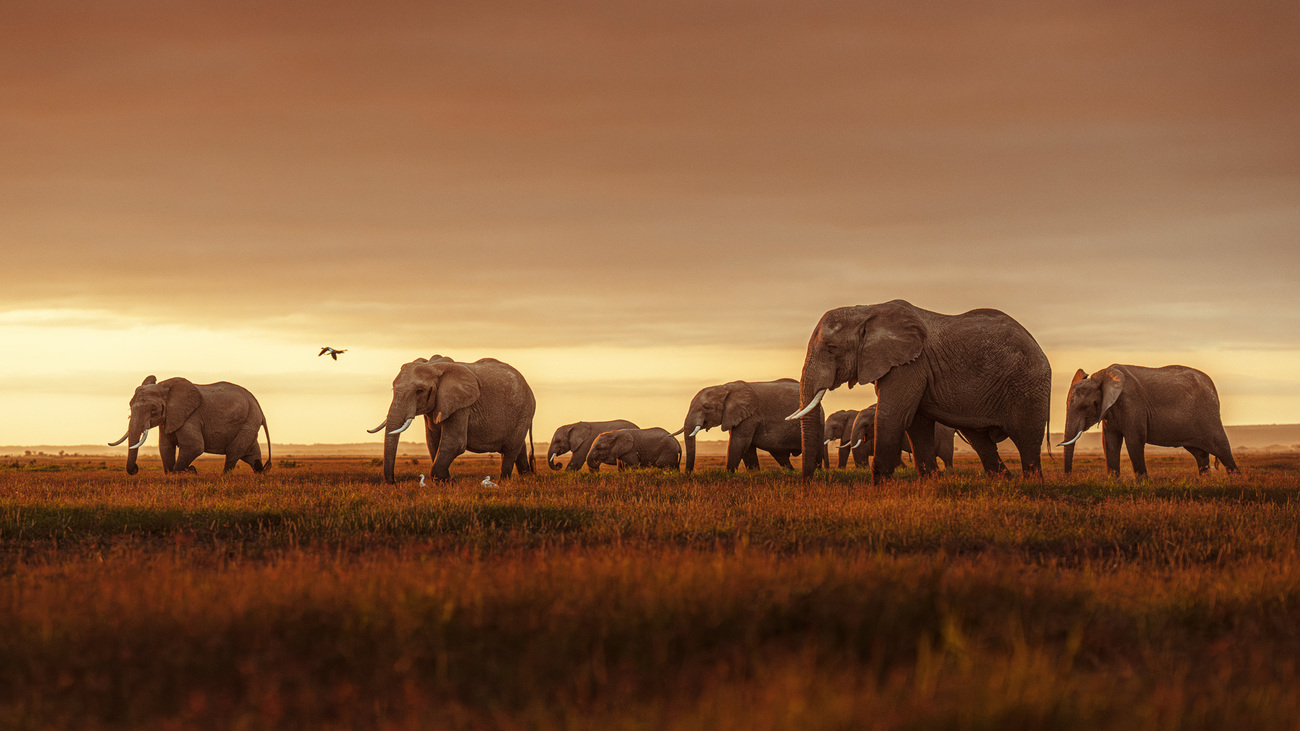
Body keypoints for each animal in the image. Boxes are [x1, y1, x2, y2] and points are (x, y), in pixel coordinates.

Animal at [107, 372, 270, 476]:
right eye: (130, 407)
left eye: (153, 410)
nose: (135, 469)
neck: (164, 387)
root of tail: (258, 406)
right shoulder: (169, 418)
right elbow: (165, 446)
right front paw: (173, 473)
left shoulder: (190, 416)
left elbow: (194, 446)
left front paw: (189, 471)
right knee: (251, 455)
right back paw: (260, 472)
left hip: (249, 421)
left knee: (233, 452)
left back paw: (224, 476)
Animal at [371, 353, 538, 481]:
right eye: (393, 388)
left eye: (419, 391)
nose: (393, 482)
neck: (435, 367)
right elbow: (432, 442)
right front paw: (445, 482)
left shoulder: (461, 406)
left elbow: (454, 443)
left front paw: (447, 481)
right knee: (519, 447)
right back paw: (526, 478)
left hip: (524, 412)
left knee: (510, 449)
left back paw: (504, 482)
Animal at [670, 374, 821, 473]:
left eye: (706, 407)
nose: (687, 474)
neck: (724, 387)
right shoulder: (735, 416)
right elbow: (747, 449)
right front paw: (755, 474)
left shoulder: (750, 416)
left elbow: (739, 443)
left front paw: (729, 475)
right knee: (782, 457)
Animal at [785, 299, 1050, 481]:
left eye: (831, 348)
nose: (809, 481)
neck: (867, 311)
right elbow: (916, 423)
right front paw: (933, 482)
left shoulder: (910, 364)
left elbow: (894, 416)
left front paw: (881, 488)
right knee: (979, 439)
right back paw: (1004, 481)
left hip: (1028, 385)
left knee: (1027, 438)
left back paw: (1030, 484)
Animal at [1055, 361, 1237, 476]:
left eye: (1088, 405)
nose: (1068, 478)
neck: (1101, 377)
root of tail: (1212, 386)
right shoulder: (1110, 411)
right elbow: (1109, 443)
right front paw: (1114, 483)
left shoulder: (1132, 403)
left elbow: (1134, 441)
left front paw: (1143, 484)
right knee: (1200, 454)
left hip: (1208, 416)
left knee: (1223, 450)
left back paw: (1236, 481)